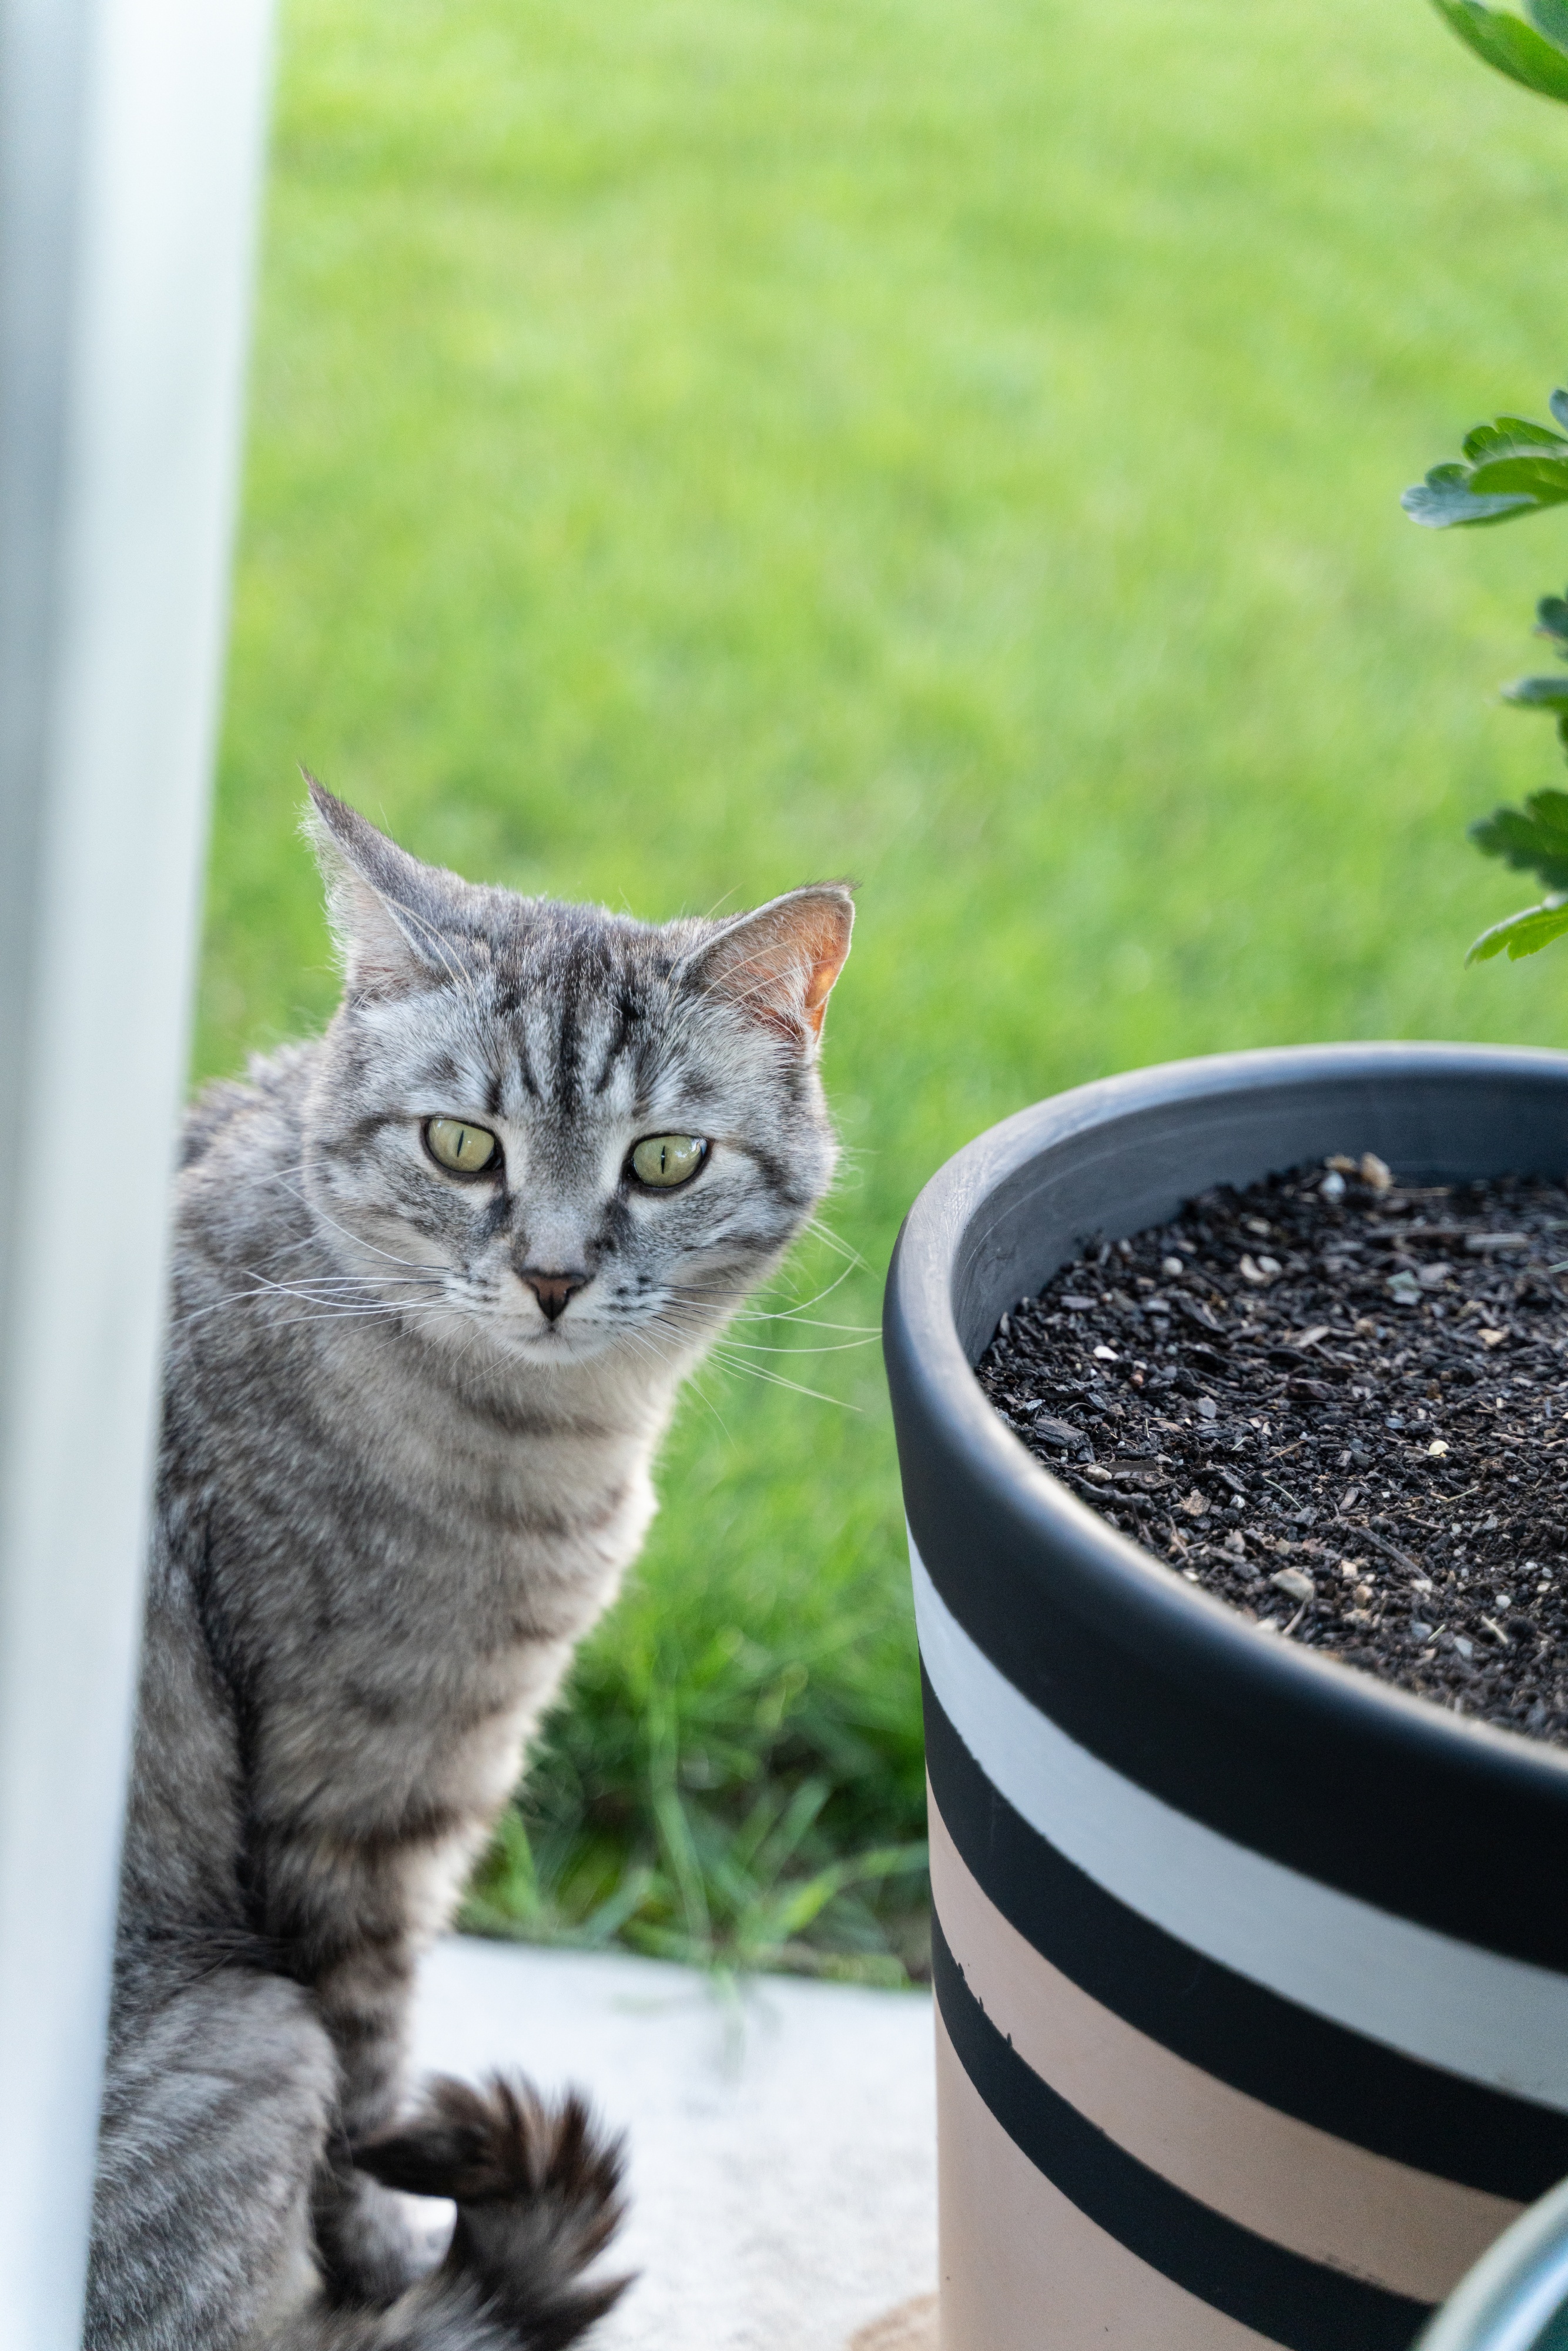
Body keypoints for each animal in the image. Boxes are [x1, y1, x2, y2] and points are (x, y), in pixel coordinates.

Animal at [91, 790, 851, 2351]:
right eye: (460, 1144)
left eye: (665, 1159)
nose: (552, 1276)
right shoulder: (361, 1820)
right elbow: (370, 2086)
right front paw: (388, 2258)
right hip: (250, 2039)